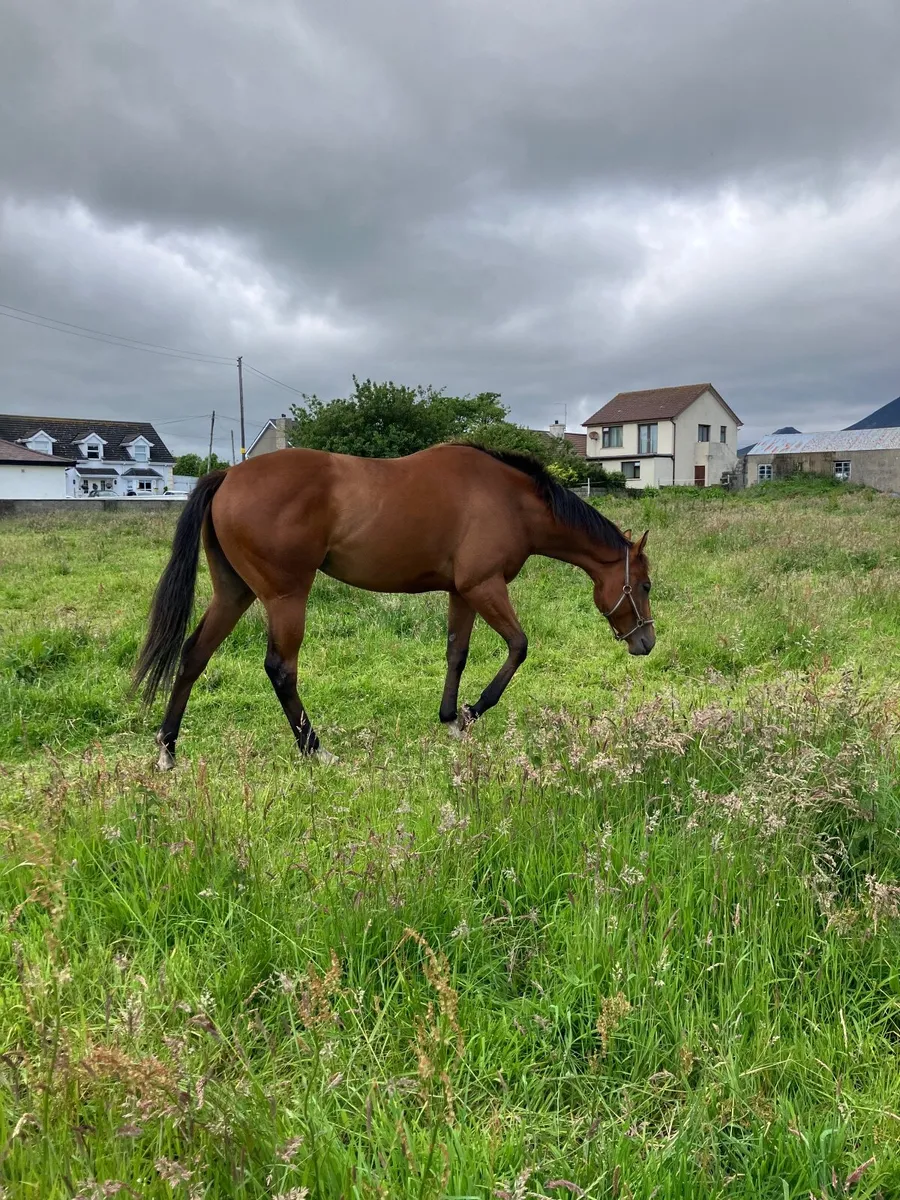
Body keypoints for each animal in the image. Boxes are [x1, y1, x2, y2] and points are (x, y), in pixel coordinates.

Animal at [133, 443, 654, 769]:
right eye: (645, 586)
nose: (646, 642)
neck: (509, 500)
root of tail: (228, 476)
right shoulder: (485, 587)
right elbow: (518, 647)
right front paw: (473, 711)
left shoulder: (463, 593)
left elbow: (457, 653)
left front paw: (451, 720)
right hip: (285, 599)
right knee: (280, 669)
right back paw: (315, 750)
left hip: (234, 593)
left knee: (193, 656)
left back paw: (168, 750)